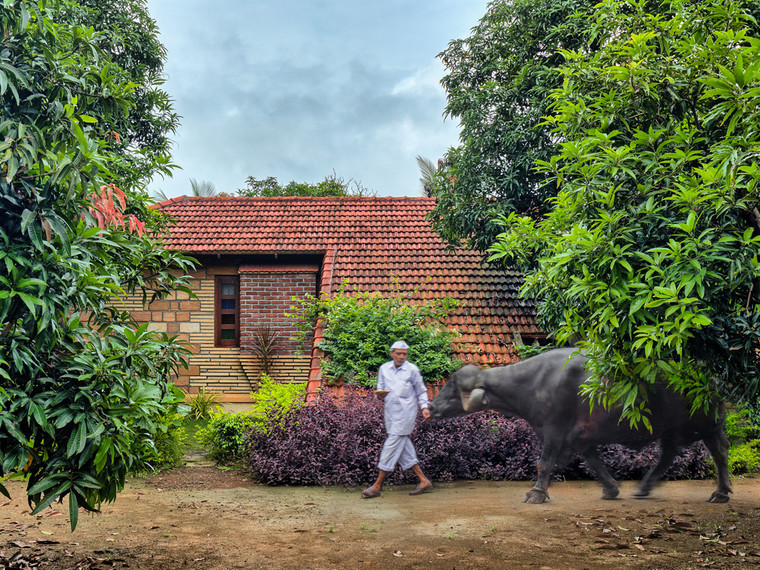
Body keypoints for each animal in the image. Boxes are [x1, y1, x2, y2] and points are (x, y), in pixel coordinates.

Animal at [428, 346, 732, 502]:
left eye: (453, 386)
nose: (431, 407)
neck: (534, 382)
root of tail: (711, 374)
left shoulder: (554, 430)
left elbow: (545, 462)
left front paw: (536, 493)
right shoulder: (581, 438)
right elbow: (594, 463)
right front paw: (611, 489)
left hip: (708, 424)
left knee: (719, 454)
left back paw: (721, 492)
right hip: (674, 428)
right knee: (669, 454)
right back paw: (644, 488)